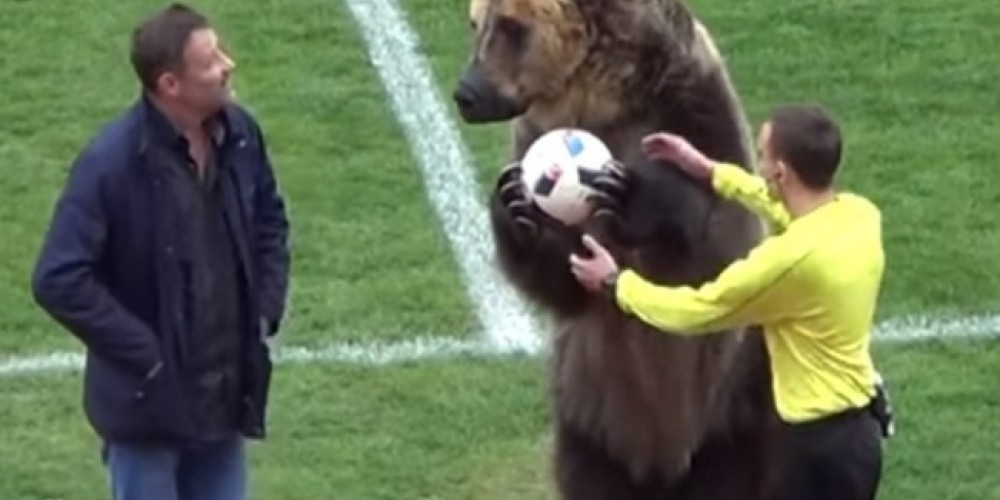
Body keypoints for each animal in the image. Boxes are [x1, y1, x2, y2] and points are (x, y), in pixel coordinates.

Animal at [451, 0, 783, 499]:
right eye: (476, 24)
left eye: (512, 27)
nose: (467, 94)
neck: (601, 99)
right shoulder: (531, 135)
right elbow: (560, 279)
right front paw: (514, 206)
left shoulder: (694, 108)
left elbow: (716, 237)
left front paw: (631, 193)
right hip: (590, 419)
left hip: (731, 406)